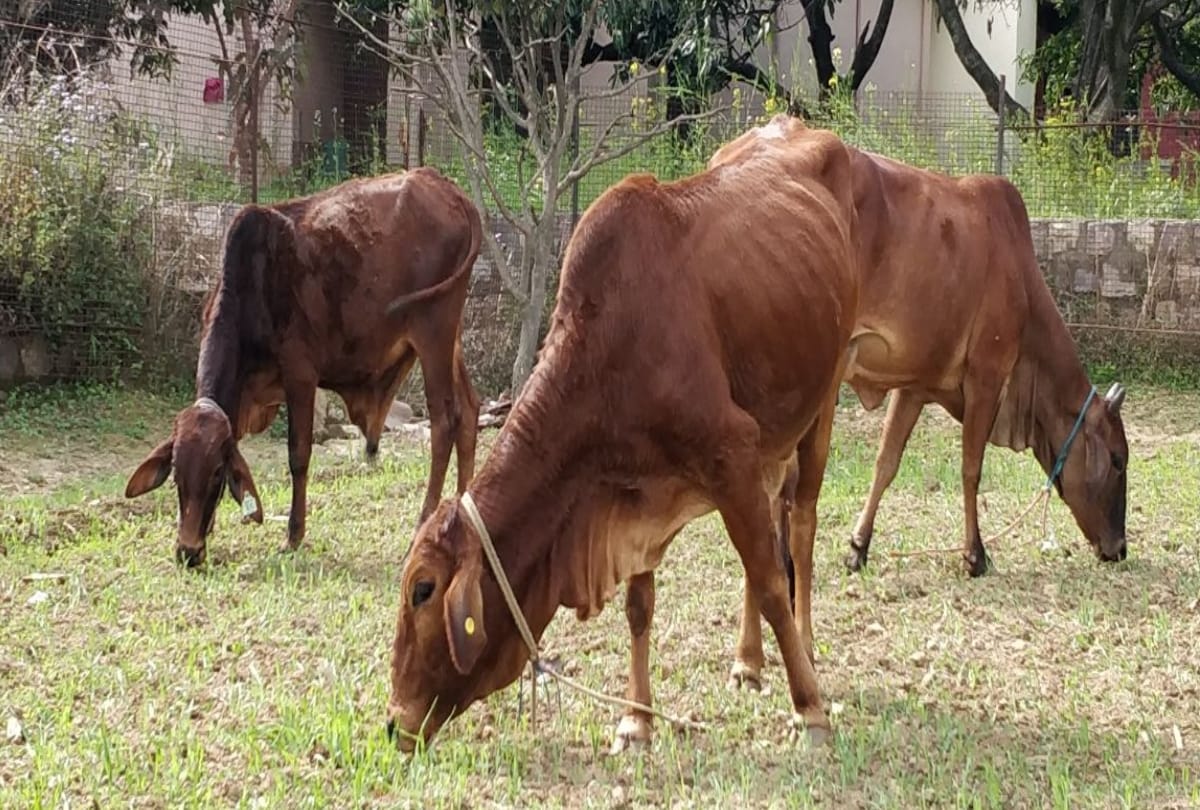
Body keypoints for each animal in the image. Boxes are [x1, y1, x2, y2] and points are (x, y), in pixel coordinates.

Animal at [124, 168, 482, 567]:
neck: (253, 289)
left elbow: (298, 455)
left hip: (433, 332)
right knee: (469, 410)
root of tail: (447, 189)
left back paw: (422, 527)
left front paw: (293, 535)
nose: (187, 551)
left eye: (216, 473)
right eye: (176, 474)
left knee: (445, 422)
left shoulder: (300, 377)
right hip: (451, 339)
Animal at [384, 118, 860, 754]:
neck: (611, 348)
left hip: (822, 401)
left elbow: (767, 580)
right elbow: (640, 605)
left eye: (422, 589)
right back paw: (748, 661)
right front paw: (637, 719)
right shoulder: (637, 493)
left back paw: (802, 652)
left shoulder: (729, 451)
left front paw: (809, 710)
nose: (394, 723)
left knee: (800, 526)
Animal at [713, 117, 1129, 692]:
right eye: (1117, 460)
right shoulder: (987, 373)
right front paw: (975, 554)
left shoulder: (913, 386)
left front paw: (858, 546)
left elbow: (885, 465)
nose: (1120, 548)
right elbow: (971, 469)